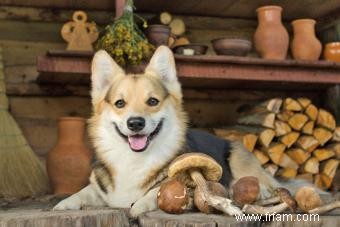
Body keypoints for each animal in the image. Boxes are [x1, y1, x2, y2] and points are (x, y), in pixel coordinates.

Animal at [53, 45, 316, 216]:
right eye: (120, 103)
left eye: (152, 101)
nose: (135, 123)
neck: (134, 159)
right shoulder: (99, 187)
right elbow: (84, 192)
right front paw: (64, 204)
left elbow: (155, 193)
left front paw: (138, 205)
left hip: (238, 159)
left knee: (265, 184)